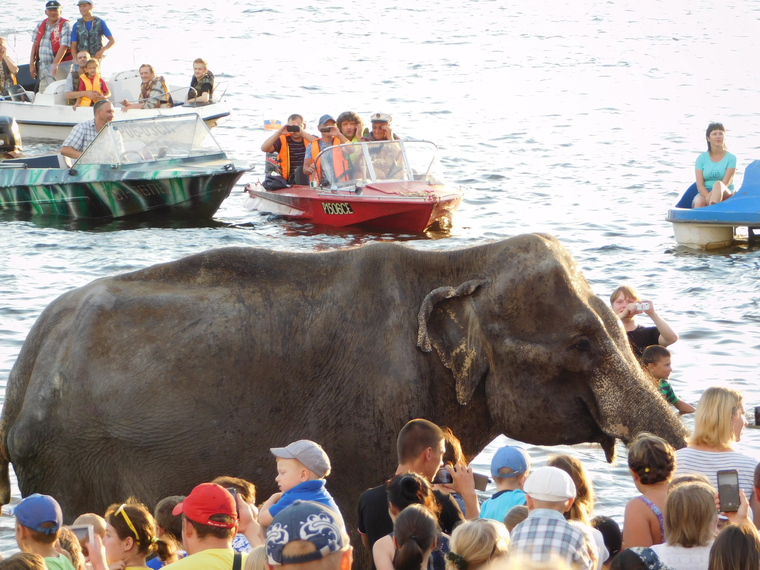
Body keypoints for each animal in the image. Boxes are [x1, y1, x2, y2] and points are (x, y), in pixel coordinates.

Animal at [1, 232, 688, 536]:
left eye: (613, 327)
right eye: (581, 344)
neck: (455, 265)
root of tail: (30, 354)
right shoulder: (371, 421)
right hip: (67, 457)